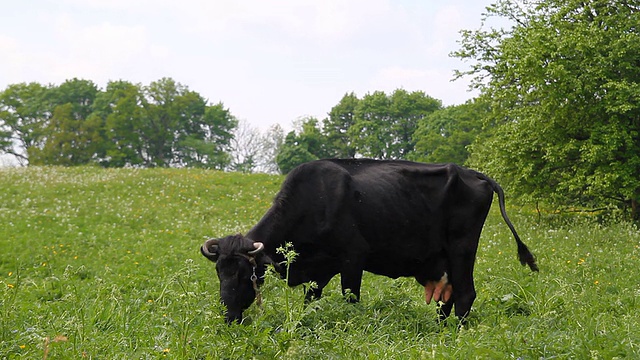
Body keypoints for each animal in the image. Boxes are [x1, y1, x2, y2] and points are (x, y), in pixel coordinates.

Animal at [199, 158, 536, 324]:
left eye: (247, 274)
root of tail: (476, 174)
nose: (229, 316)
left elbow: (351, 299)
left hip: (463, 249)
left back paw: (455, 333)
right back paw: (438, 330)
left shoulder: (353, 258)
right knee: (448, 298)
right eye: (219, 273)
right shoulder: (318, 271)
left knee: (465, 295)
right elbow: (312, 303)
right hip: (443, 260)